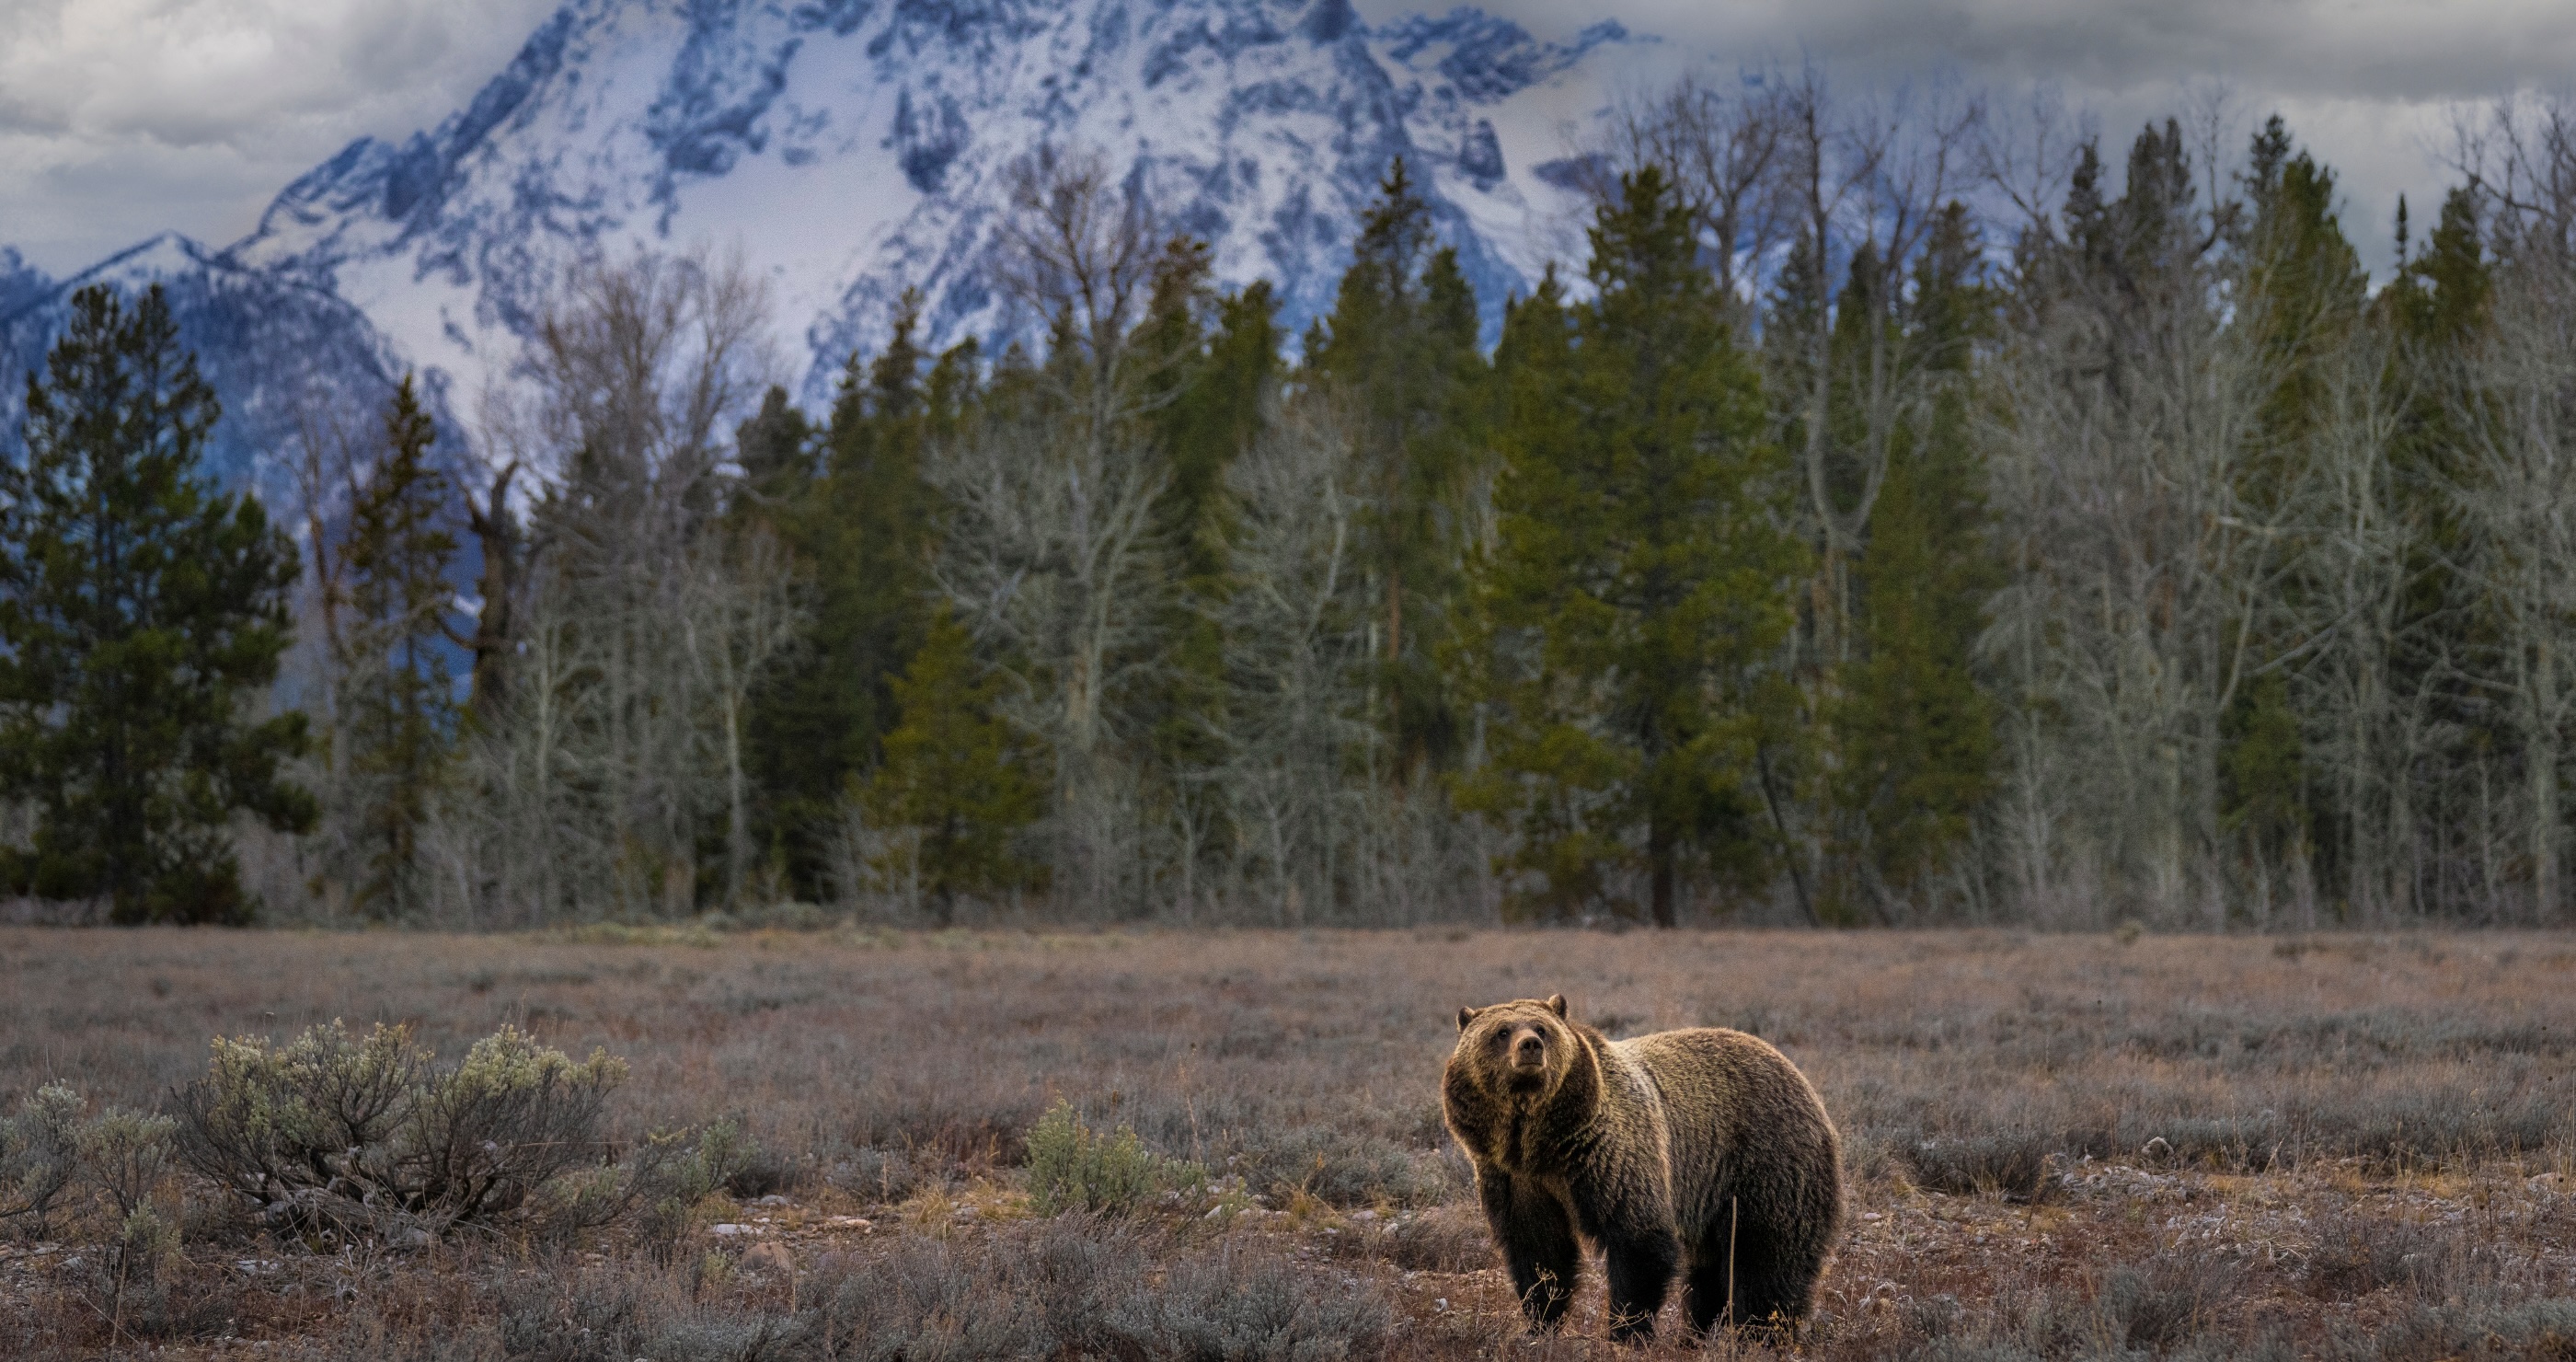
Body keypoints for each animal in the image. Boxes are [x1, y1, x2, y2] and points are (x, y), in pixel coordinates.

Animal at [1442, 994, 1843, 1343]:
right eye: (1501, 1031)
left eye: (1542, 1028)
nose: (1530, 1046)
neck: (1538, 1141)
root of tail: (1797, 1074)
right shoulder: (1514, 1177)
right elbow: (1539, 1250)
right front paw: (1538, 1323)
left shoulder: (1609, 1154)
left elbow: (1639, 1239)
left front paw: (1625, 1331)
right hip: (1713, 1191)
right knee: (1711, 1267)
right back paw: (1699, 1332)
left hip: (1766, 1163)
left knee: (1769, 1257)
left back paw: (1762, 1333)